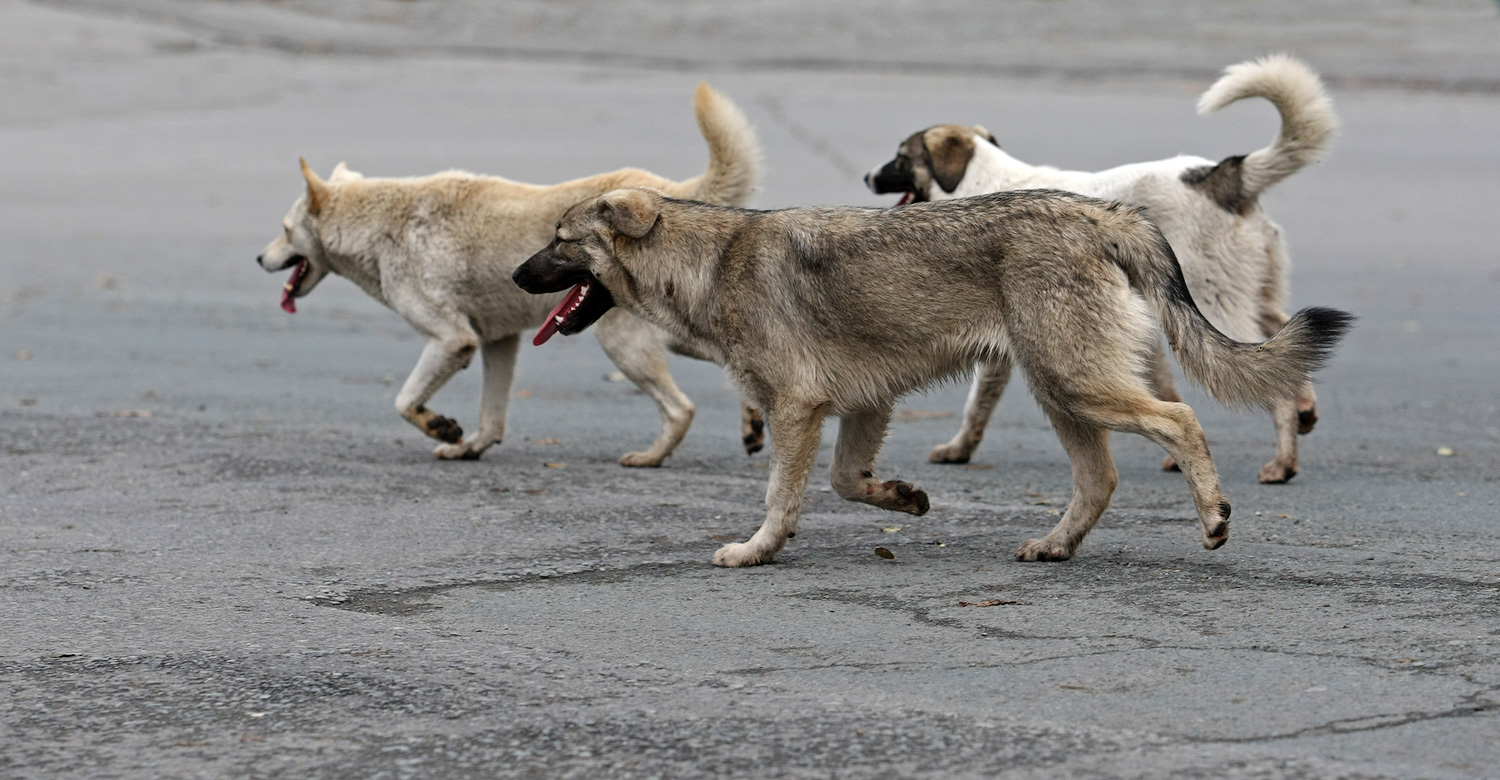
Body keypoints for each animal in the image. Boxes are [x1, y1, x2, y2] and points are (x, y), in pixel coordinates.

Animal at [256, 85, 762, 462]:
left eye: (284, 230)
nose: (259, 259)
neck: (381, 225)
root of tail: (663, 194)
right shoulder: (497, 341)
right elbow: (491, 415)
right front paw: (470, 447)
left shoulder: (451, 339)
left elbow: (404, 401)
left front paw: (440, 427)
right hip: (671, 333)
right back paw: (753, 423)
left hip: (626, 344)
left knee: (682, 409)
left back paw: (651, 457)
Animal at [510, 189, 1356, 567]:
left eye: (560, 240)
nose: (515, 276)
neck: (710, 262)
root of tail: (1101, 210)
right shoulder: (860, 408)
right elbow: (847, 483)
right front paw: (903, 498)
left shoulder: (798, 410)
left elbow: (780, 495)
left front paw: (757, 549)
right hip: (1060, 394)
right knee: (1100, 481)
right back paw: (1056, 545)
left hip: (1075, 386)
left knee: (1180, 423)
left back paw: (1213, 514)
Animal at [870, 54, 1338, 480]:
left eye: (900, 157)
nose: (867, 176)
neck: (981, 177)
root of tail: (1219, 177)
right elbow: (1161, 390)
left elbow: (975, 404)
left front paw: (957, 449)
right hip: (1244, 295)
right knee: (1287, 342)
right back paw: (1304, 410)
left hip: (1213, 301)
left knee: (1270, 376)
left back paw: (1282, 462)